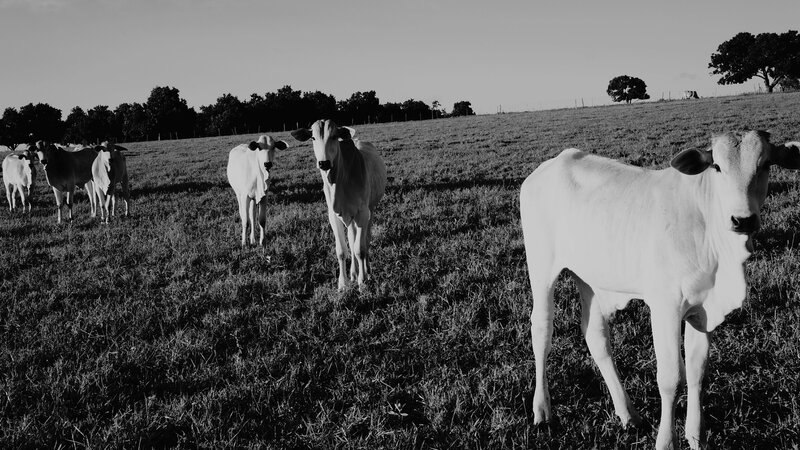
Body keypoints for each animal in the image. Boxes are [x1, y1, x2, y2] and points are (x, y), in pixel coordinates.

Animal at [291, 120, 387, 289]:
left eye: (335, 136)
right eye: (313, 138)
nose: (323, 163)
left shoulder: (363, 213)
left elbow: (360, 249)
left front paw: (362, 281)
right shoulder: (334, 215)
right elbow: (342, 250)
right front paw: (343, 283)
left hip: (371, 209)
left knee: (365, 239)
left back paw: (366, 270)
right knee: (352, 237)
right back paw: (354, 273)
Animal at [519, 131, 800, 449]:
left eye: (765, 165)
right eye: (717, 166)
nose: (743, 220)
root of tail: (552, 164)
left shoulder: (701, 311)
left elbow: (697, 372)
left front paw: (696, 436)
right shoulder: (665, 308)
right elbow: (671, 379)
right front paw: (666, 441)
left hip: (590, 278)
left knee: (595, 335)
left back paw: (628, 413)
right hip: (541, 267)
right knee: (541, 330)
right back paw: (542, 409)